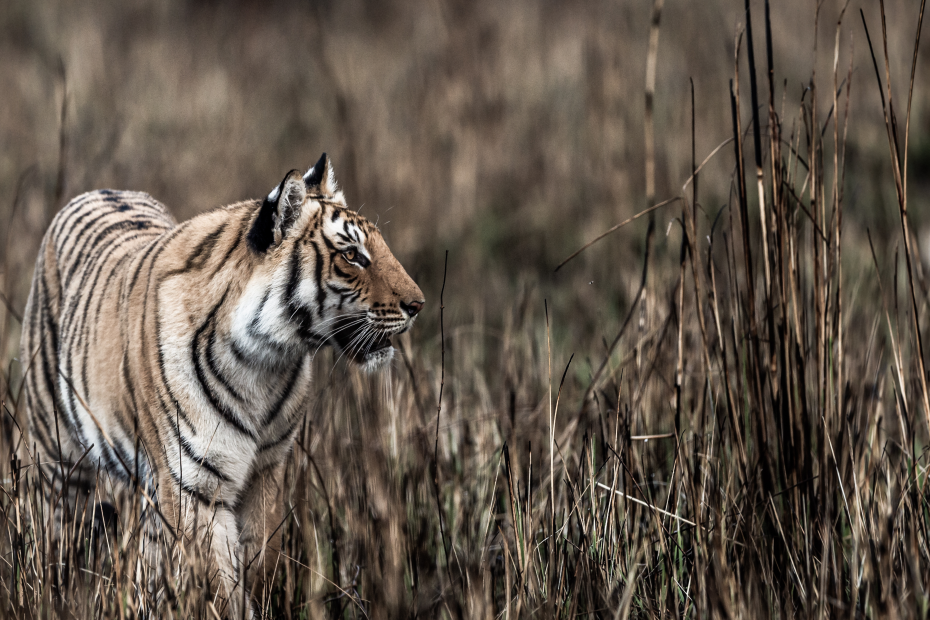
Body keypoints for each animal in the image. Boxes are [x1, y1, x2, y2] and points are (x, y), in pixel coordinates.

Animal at [19, 154, 424, 616]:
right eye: (352, 255)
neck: (266, 362)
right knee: (57, 537)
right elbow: (219, 588)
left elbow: (260, 563)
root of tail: (102, 190)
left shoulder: (266, 474)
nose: (419, 304)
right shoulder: (193, 488)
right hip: (59, 461)